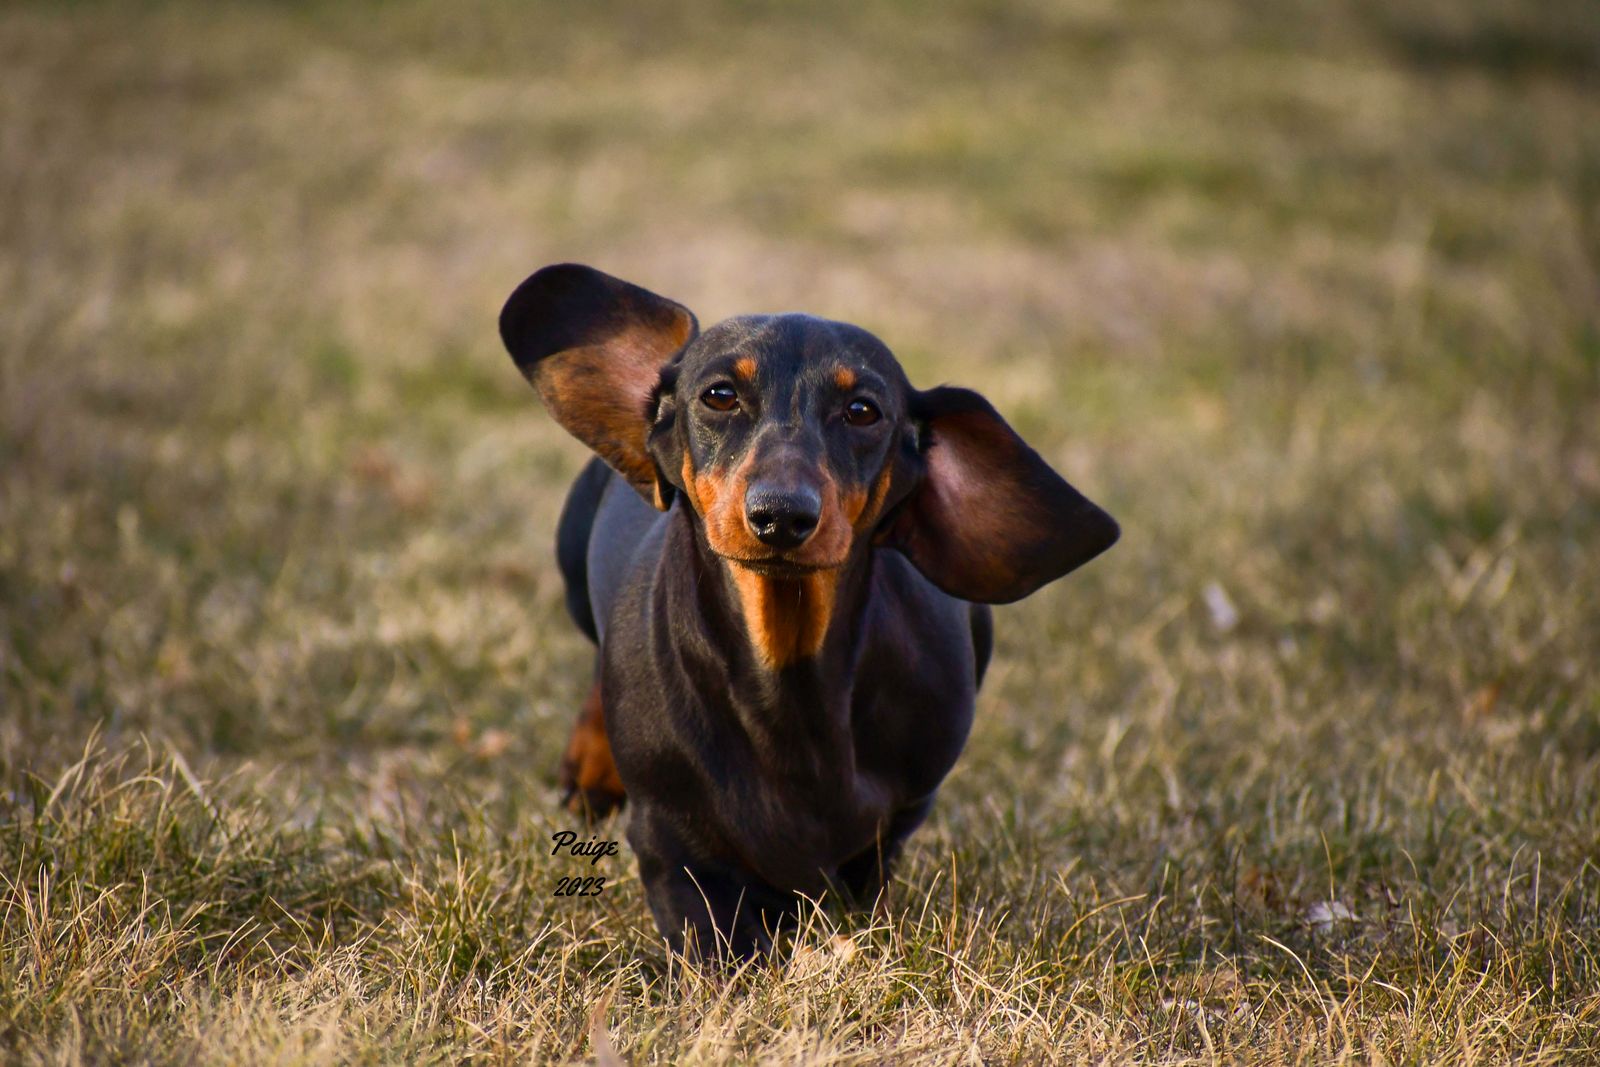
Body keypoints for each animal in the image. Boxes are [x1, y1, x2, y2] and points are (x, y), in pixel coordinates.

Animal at [499, 264, 1118, 957]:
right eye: (719, 395)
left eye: (862, 411)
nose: (782, 515)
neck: (788, 671)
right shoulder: (666, 840)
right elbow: (712, 935)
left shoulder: (904, 808)